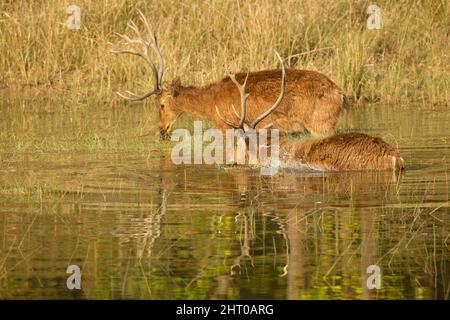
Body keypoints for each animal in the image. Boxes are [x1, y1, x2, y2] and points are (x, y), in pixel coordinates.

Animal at [111, 10, 348, 139]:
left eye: (161, 105)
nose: (162, 130)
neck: (210, 103)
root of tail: (341, 94)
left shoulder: (227, 125)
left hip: (321, 123)